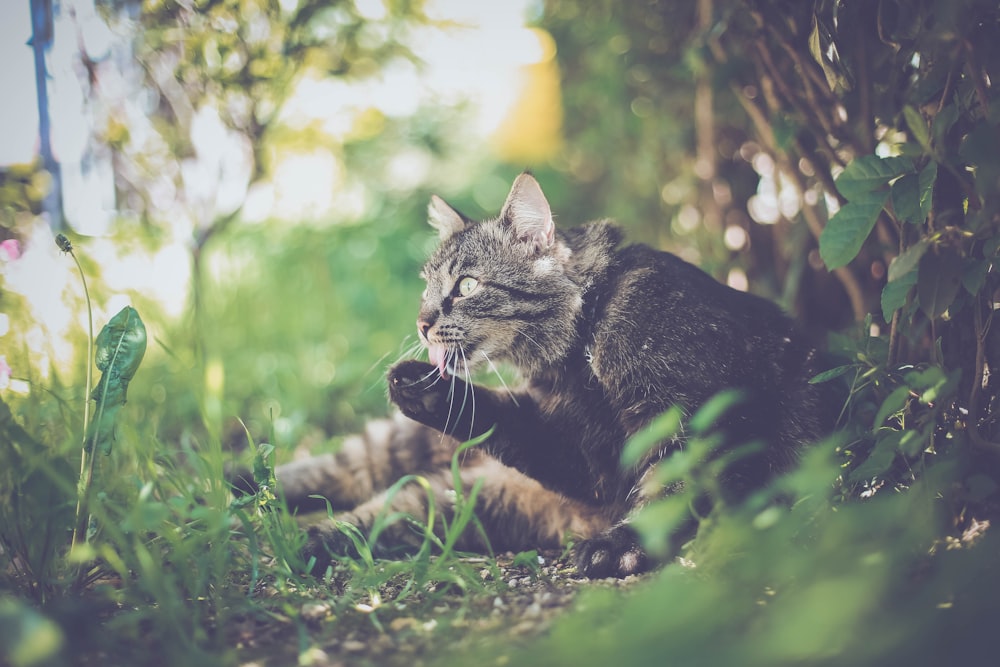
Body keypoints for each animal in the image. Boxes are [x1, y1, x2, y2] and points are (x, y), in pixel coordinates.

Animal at [236, 172, 836, 580]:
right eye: (427, 288)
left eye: (467, 286)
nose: (423, 323)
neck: (578, 357)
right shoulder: (579, 454)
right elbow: (499, 413)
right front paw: (424, 386)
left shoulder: (685, 418)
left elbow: (674, 487)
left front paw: (623, 545)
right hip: (418, 467)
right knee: (336, 477)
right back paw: (246, 492)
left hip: (457, 499)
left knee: (365, 513)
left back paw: (285, 530)